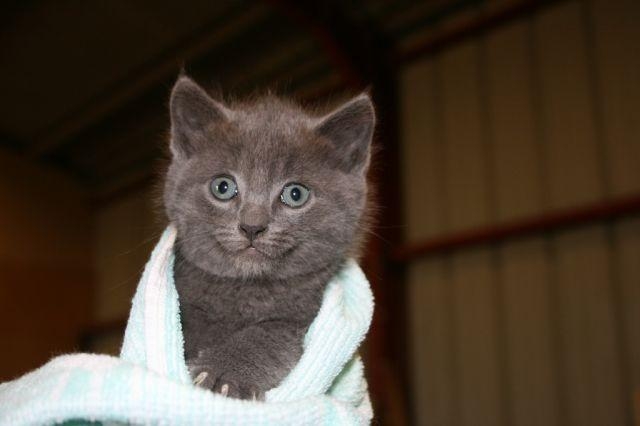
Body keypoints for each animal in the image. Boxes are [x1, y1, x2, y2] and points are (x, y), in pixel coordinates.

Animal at [163, 75, 375, 400]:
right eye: (222, 187)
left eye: (295, 194)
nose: (252, 226)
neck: (246, 291)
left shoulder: (305, 317)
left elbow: (269, 334)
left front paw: (223, 373)